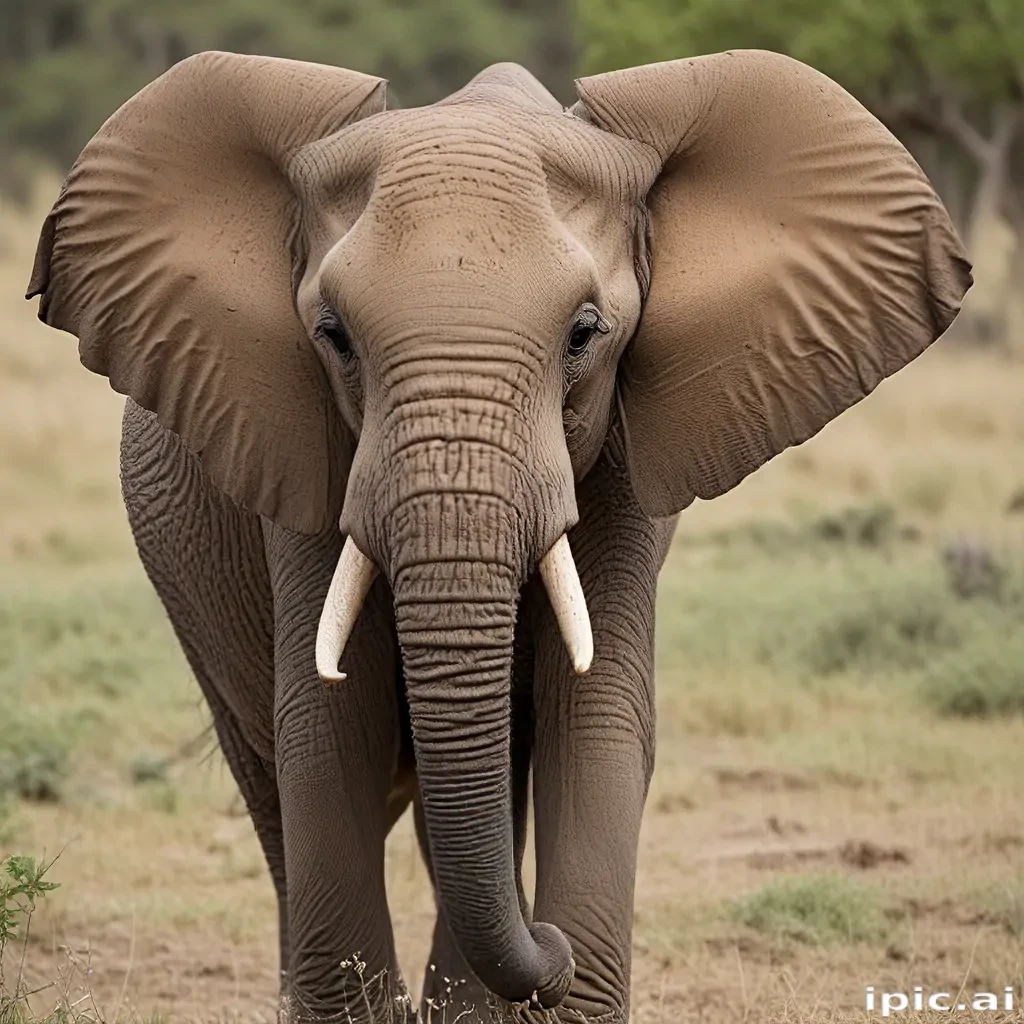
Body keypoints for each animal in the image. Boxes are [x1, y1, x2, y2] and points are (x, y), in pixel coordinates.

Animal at [27, 48, 970, 1024]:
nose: (544, 941)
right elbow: (328, 728)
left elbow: (596, 717)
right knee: (271, 780)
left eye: (585, 334)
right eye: (333, 336)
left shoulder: (625, 466)